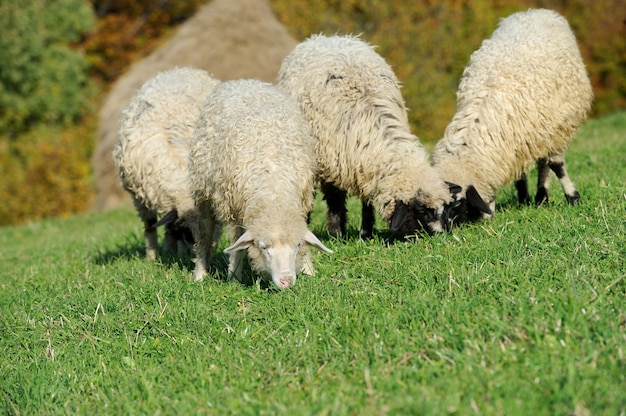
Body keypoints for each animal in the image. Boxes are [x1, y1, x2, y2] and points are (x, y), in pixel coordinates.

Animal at [112, 66, 219, 258]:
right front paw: (153, 257)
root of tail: (182, 69)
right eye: (187, 233)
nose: (205, 257)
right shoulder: (139, 197)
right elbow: (150, 227)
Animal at [186, 78, 330, 288]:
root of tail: (243, 81)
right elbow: (237, 245)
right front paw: (234, 278)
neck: (273, 192)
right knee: (204, 234)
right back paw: (200, 273)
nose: (286, 281)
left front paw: (308, 270)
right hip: (203, 191)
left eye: (296, 246)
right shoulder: (235, 208)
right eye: (263, 247)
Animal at [274, 34, 454, 239]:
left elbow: (366, 200)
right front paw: (335, 232)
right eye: (422, 211)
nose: (440, 236)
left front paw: (366, 231)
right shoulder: (327, 161)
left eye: (446, 209)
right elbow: (332, 198)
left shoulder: (362, 165)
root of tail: (325, 37)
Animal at [432, 8, 592, 221]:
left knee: (545, 164)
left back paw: (542, 197)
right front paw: (522, 199)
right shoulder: (513, 143)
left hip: (551, 125)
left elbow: (557, 165)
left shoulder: (556, 128)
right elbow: (518, 171)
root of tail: (532, 12)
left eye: (457, 204)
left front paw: (573, 197)